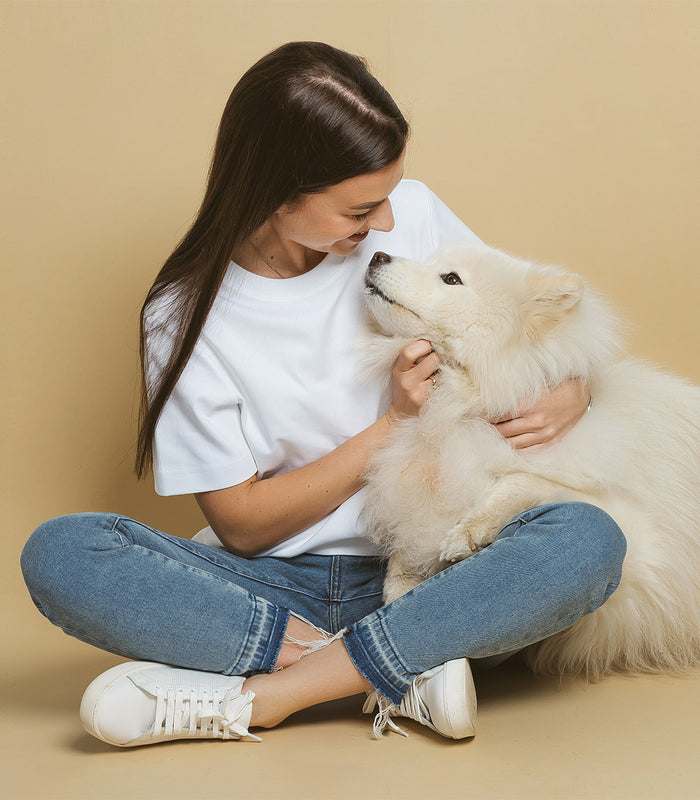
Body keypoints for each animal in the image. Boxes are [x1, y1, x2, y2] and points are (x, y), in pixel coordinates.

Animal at [360, 242, 700, 676]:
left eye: (451, 278)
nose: (377, 255)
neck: (460, 406)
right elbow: (407, 553)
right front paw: (400, 587)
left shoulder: (643, 547)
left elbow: (525, 481)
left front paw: (469, 532)